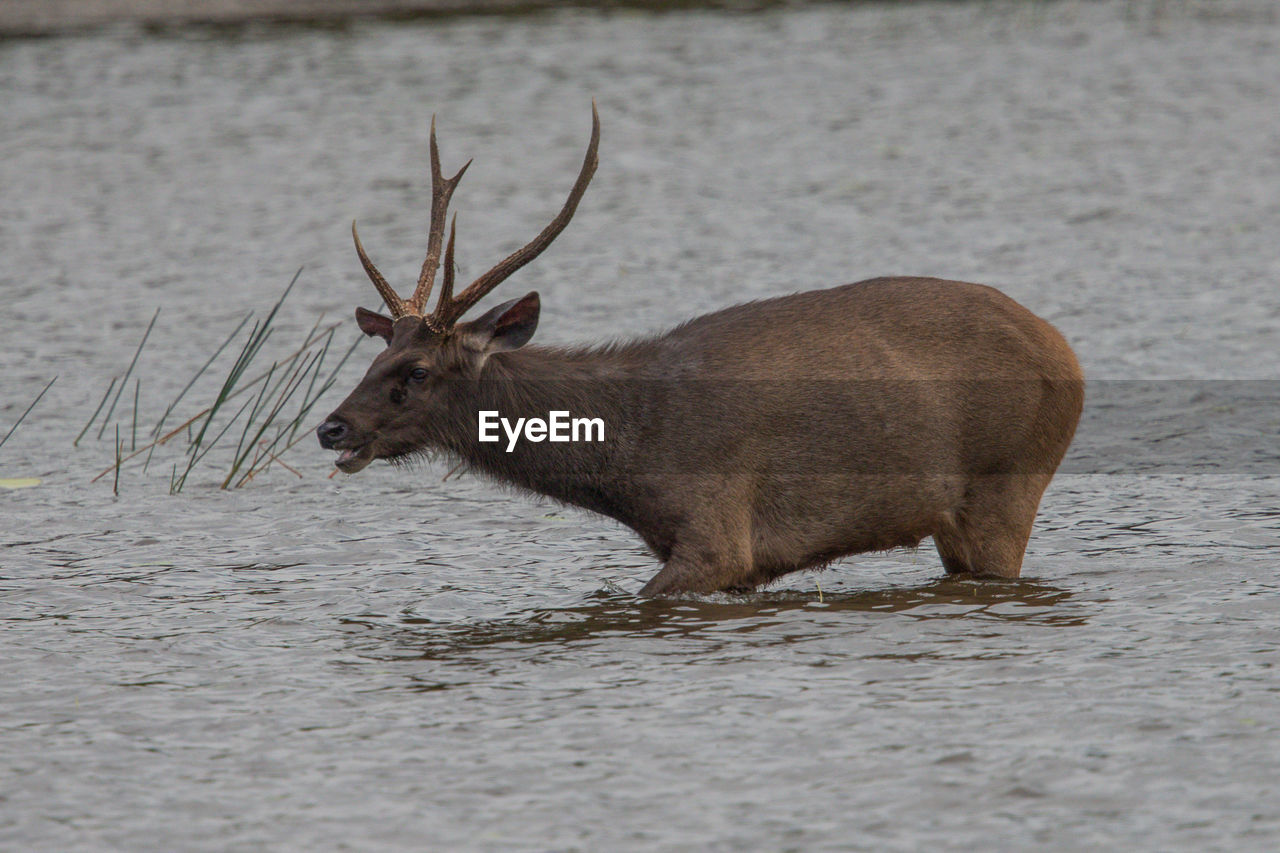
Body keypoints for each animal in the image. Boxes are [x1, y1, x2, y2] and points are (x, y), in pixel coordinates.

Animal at [317, 106, 1080, 594]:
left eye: (415, 370)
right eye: (372, 357)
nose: (332, 427)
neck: (627, 460)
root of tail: (1066, 351)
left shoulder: (718, 533)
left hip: (1008, 482)